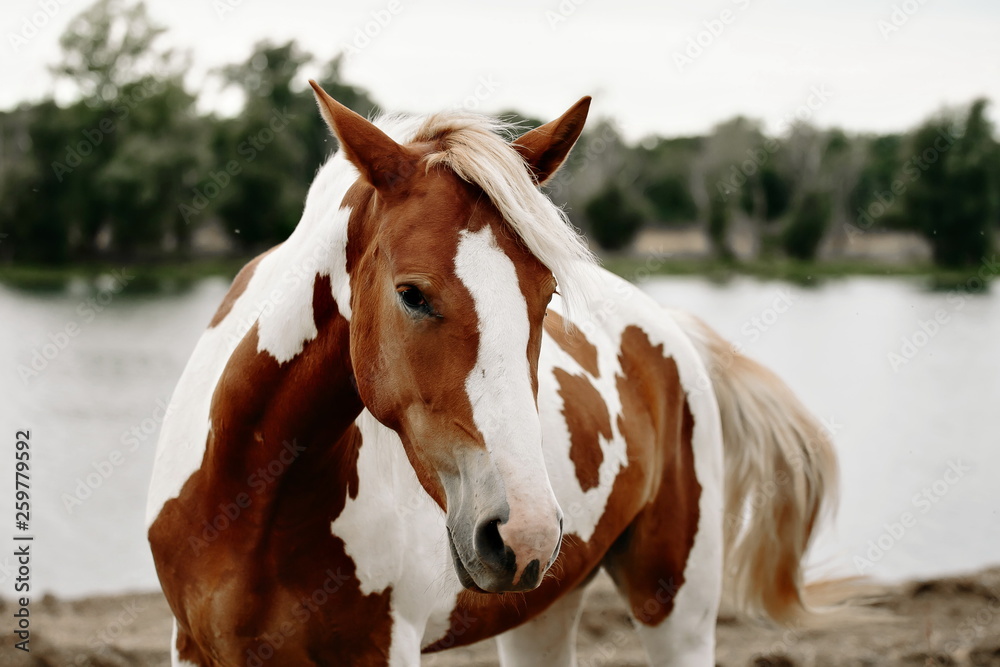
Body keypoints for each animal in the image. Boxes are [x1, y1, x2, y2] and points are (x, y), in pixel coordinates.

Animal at [146, 81, 837, 666]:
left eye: (547, 293)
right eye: (412, 294)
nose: (522, 533)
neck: (252, 501)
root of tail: (671, 329)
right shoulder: (193, 648)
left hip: (675, 609)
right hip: (543, 613)